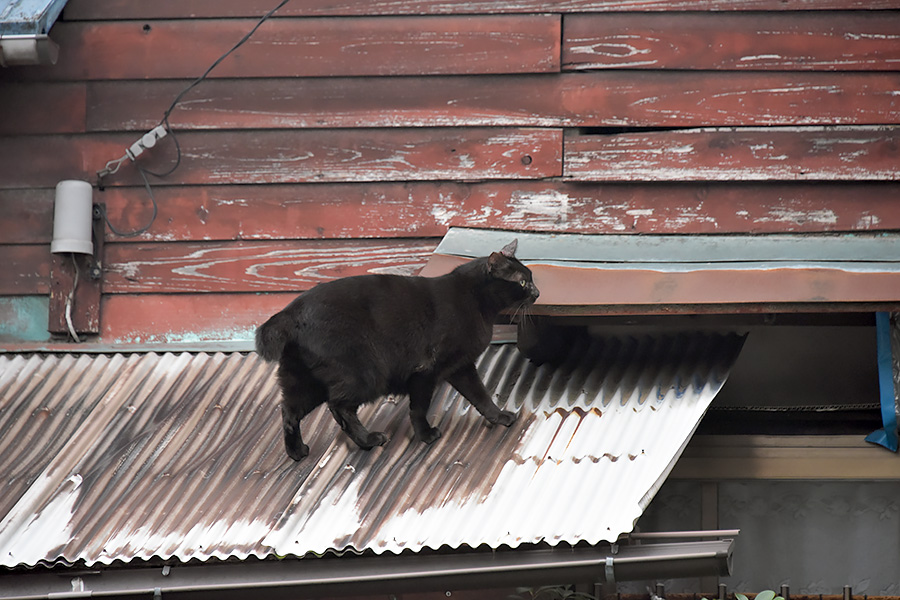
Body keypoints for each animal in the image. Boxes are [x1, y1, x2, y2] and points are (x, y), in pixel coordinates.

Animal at [253, 239, 536, 460]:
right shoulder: (426, 370)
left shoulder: (460, 366)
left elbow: (481, 396)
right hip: (365, 374)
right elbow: (419, 407)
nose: (537, 292)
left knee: (289, 412)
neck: (474, 300)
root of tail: (289, 312)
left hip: (303, 382)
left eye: (531, 279)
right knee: (338, 407)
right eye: (523, 283)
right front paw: (426, 435)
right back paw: (369, 440)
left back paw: (297, 452)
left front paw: (499, 417)